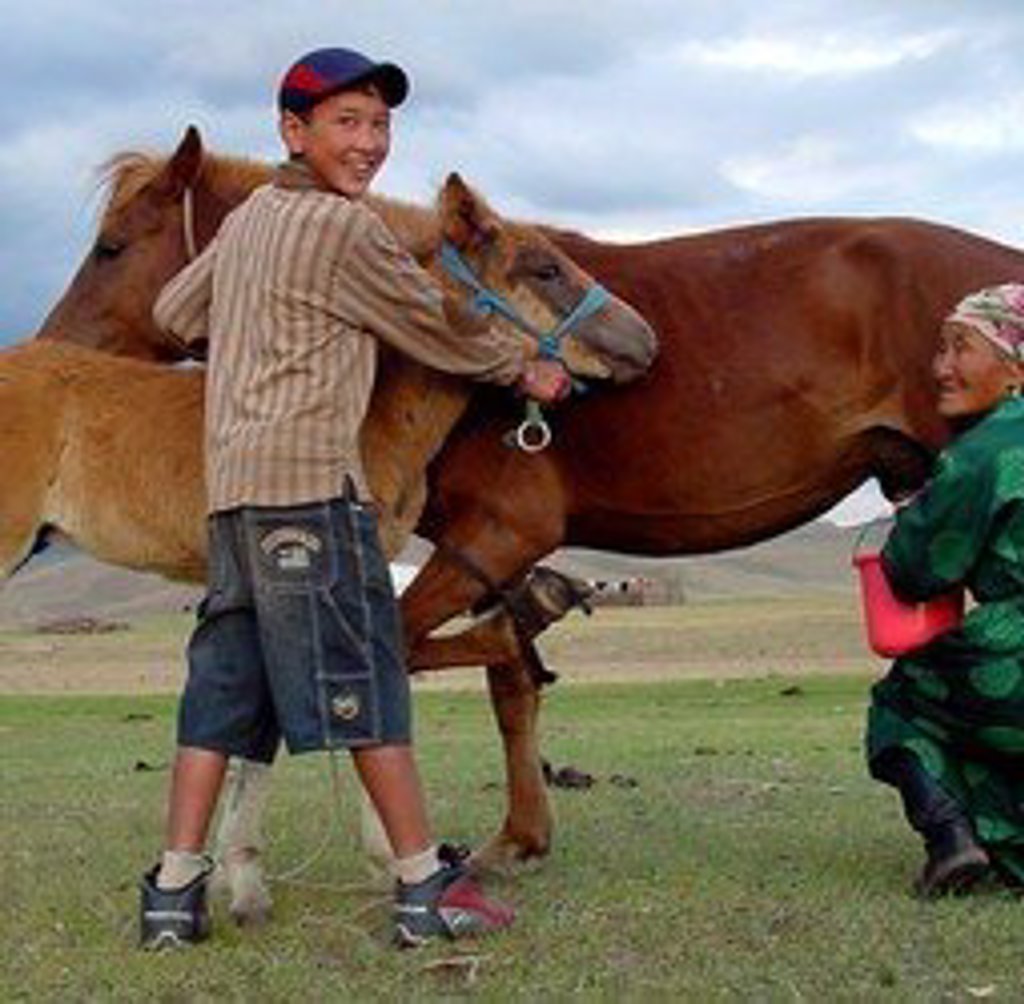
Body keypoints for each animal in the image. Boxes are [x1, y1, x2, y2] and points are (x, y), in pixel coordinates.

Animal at [36, 126, 1024, 891]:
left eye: (113, 245)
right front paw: (520, 832)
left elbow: (404, 653)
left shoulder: (500, 534)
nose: (48, 349)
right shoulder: (487, 552)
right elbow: (504, 682)